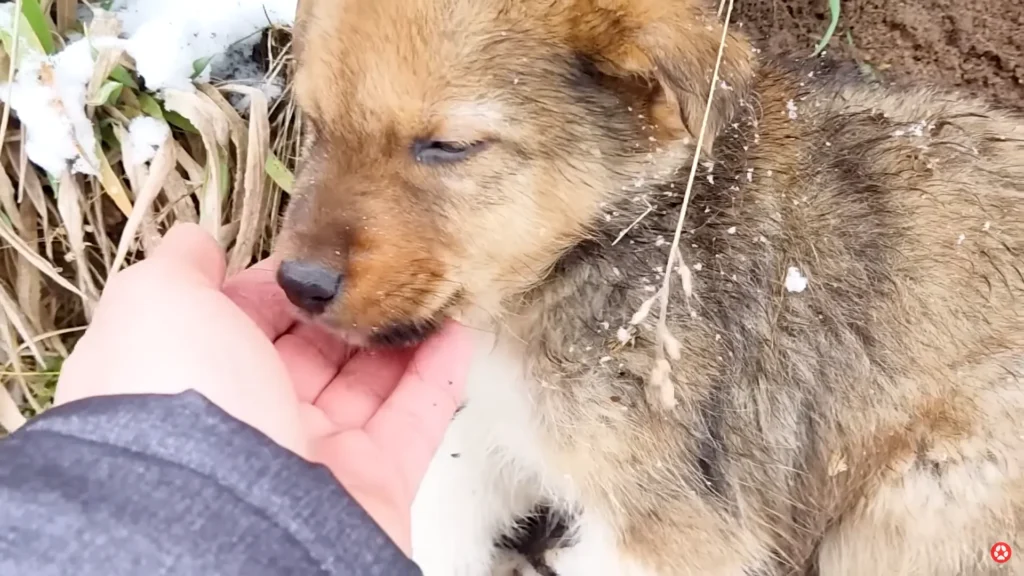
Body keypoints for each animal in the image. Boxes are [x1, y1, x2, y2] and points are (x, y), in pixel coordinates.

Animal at [274, 0, 1024, 569]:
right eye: (314, 125)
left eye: (448, 146)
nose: (296, 283)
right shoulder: (502, 420)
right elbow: (436, 509)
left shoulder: (679, 530)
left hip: (918, 498)